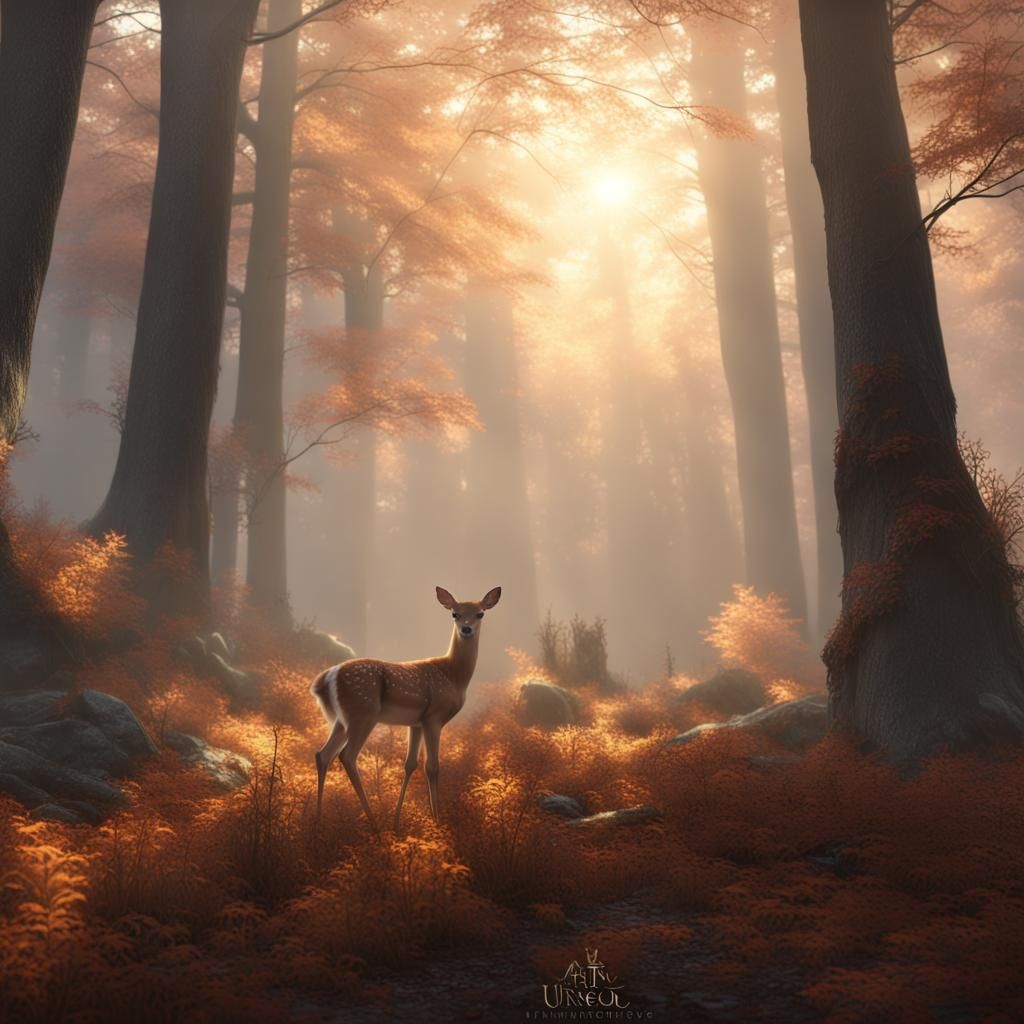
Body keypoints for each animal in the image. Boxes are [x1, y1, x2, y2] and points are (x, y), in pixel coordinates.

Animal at [310, 585, 501, 831]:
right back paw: (373, 822)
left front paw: (397, 821)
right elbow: (432, 766)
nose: (466, 629)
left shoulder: (416, 723)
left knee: (323, 755)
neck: (454, 675)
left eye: (480, 614)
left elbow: (410, 764)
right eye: (455, 614)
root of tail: (326, 679)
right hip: (363, 713)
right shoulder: (434, 717)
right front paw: (436, 820)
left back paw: (318, 820)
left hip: (341, 720)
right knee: (347, 756)